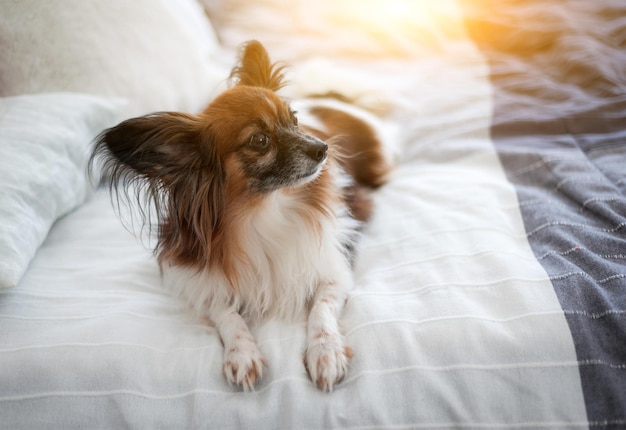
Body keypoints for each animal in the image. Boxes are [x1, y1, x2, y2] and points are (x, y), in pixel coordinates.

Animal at [89, 39, 390, 390]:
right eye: (259, 141)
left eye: (294, 120)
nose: (322, 148)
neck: (263, 209)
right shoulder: (199, 282)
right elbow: (225, 312)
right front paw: (242, 353)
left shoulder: (334, 272)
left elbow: (321, 308)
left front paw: (326, 352)